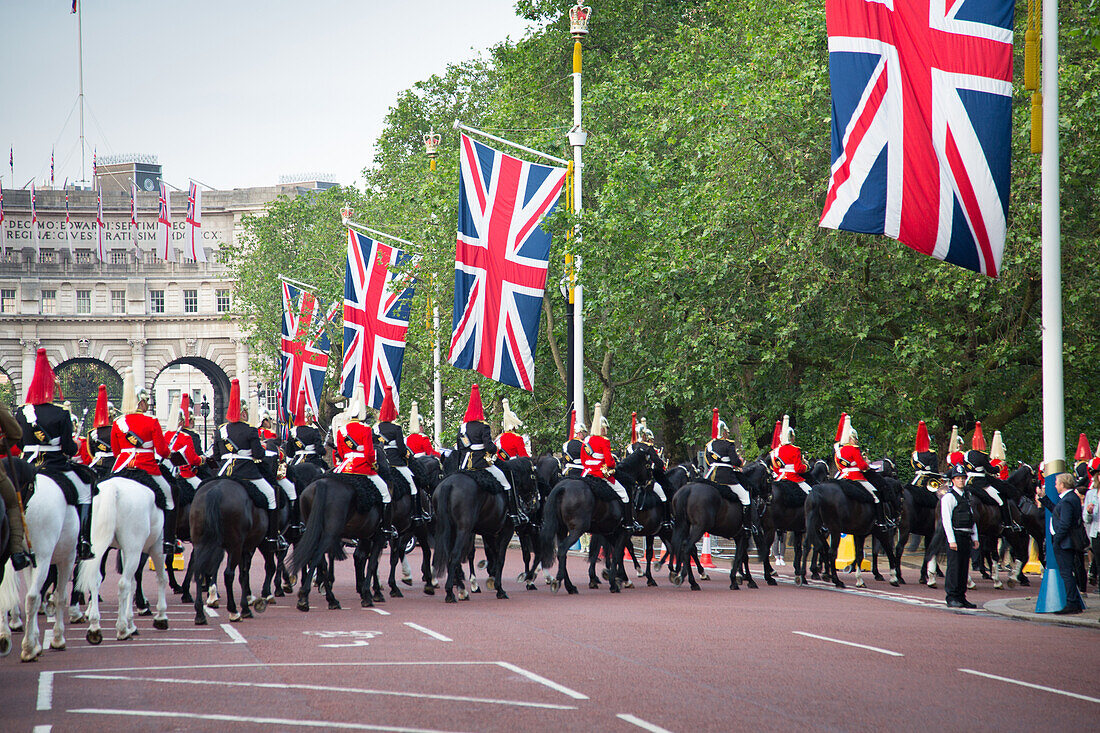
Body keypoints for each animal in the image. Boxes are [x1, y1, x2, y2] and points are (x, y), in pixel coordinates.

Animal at [0, 473, 78, 660]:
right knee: (32, 597)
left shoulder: (29, 563)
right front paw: (57, 639)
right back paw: (28, 648)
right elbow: (60, 597)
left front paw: (37, 640)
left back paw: (6, 638)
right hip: (44, 557)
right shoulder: (67, 558)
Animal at [76, 473, 168, 638]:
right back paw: (122, 628)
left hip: (100, 547)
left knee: (96, 579)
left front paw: (131, 622)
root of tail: (113, 488)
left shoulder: (126, 551)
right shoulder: (157, 547)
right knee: (123, 584)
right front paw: (161, 617)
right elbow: (161, 578)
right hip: (135, 550)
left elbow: (133, 583)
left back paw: (95, 626)